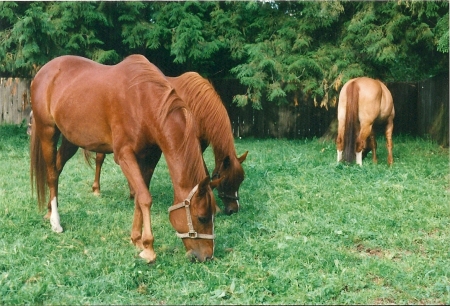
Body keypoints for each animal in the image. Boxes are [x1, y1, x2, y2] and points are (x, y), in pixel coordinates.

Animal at [30, 53, 221, 262]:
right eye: (202, 217)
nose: (207, 256)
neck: (143, 100)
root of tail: (44, 71)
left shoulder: (150, 157)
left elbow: (139, 196)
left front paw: (137, 239)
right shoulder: (124, 156)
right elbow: (145, 197)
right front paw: (148, 248)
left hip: (70, 140)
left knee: (57, 169)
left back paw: (49, 211)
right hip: (48, 131)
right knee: (51, 174)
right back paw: (56, 222)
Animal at [90, 71, 248, 215]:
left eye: (240, 181)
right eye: (226, 182)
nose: (234, 209)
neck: (196, 105)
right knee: (100, 159)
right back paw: (97, 189)